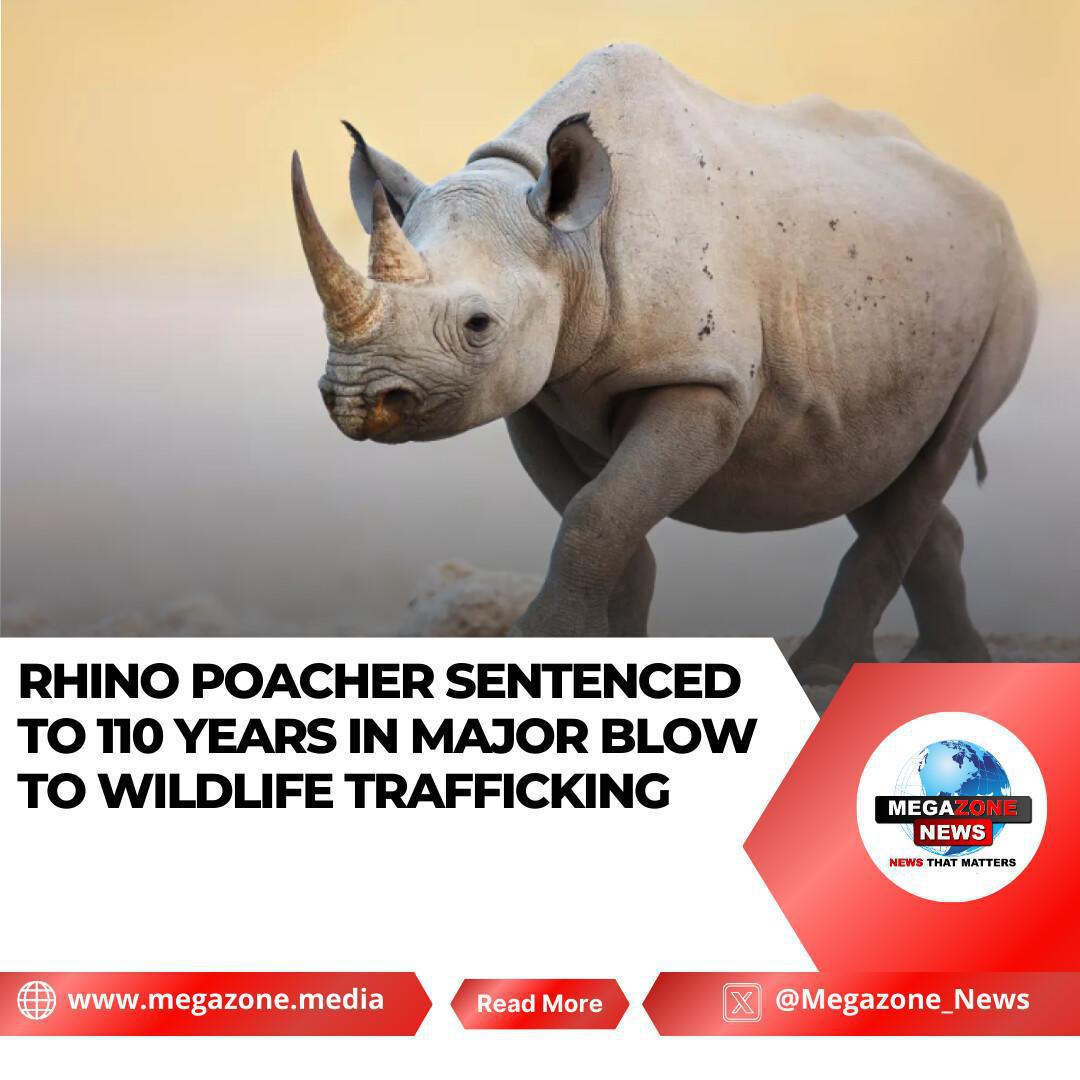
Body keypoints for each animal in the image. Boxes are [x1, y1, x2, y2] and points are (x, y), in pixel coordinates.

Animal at [292, 44, 1036, 682]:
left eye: (478, 326)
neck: (570, 240)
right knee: (875, 463)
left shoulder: (703, 381)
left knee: (941, 447)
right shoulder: (535, 396)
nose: (357, 400)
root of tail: (982, 193)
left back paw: (825, 671)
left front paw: (541, 644)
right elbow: (601, 518)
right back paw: (944, 664)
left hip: (1005, 287)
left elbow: (598, 511)